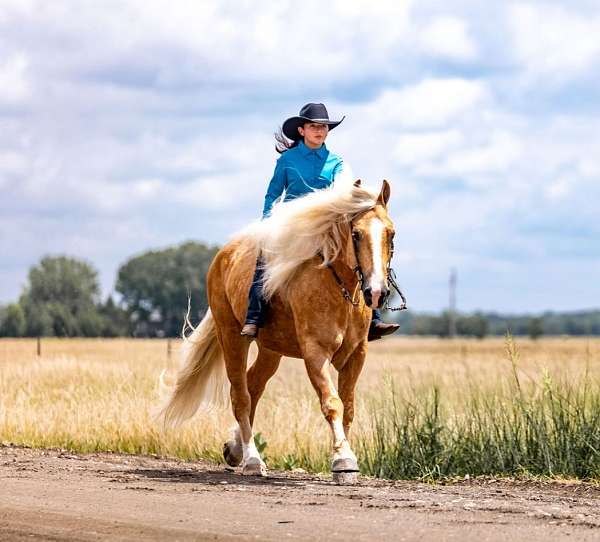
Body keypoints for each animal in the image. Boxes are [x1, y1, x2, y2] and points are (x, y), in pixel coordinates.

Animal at [161, 181, 394, 478]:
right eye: (356, 233)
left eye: (391, 234)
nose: (376, 292)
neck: (338, 289)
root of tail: (223, 256)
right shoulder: (315, 352)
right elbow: (332, 403)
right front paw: (343, 460)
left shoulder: (356, 354)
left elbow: (349, 407)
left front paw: (345, 457)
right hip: (232, 338)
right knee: (241, 396)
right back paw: (251, 459)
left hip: (271, 350)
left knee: (253, 387)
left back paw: (234, 449)